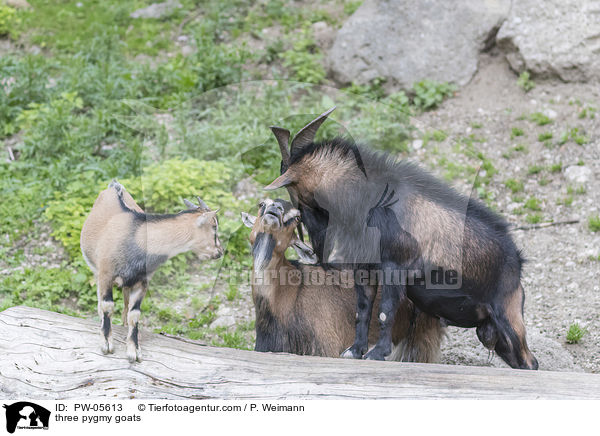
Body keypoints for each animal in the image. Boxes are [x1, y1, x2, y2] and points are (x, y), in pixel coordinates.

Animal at [241, 198, 442, 362]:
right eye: (261, 204)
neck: (288, 295)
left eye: (296, 218)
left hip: (420, 333)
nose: (275, 209)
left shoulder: (327, 347)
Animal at [264, 107, 536, 370]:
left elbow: (385, 312)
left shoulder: (394, 267)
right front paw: (354, 351)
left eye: (290, 187)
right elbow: (362, 311)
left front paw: (377, 354)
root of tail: (517, 260)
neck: (370, 199)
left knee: (530, 363)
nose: (313, 249)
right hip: (492, 331)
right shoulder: (365, 269)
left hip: (508, 316)